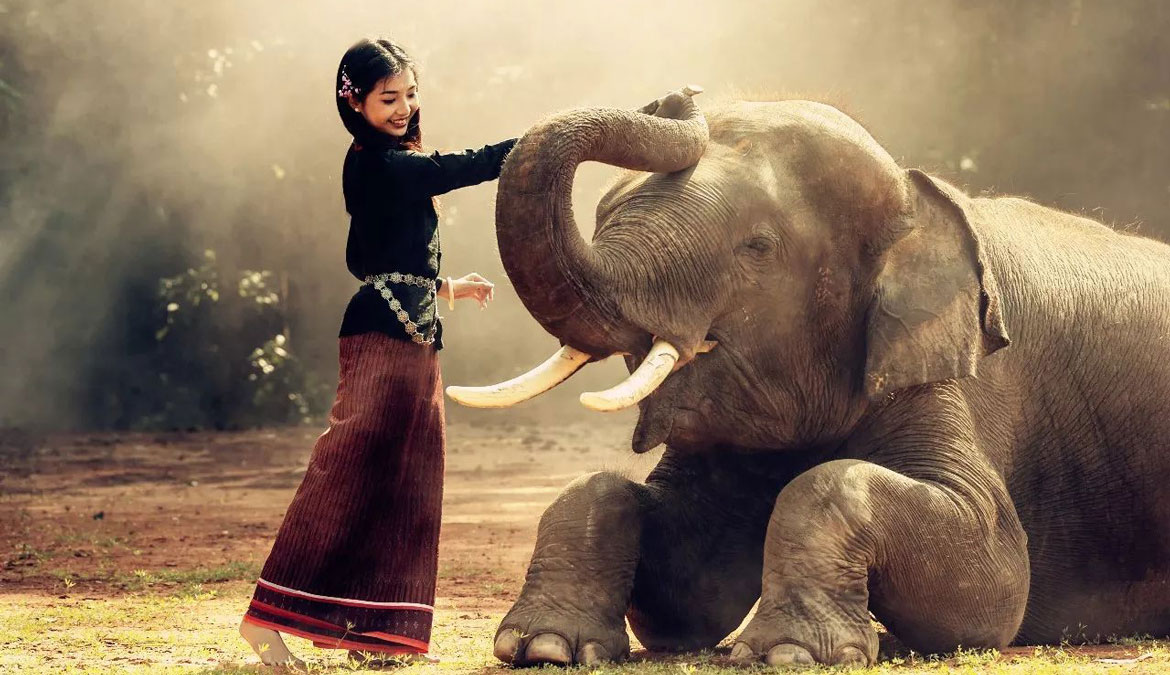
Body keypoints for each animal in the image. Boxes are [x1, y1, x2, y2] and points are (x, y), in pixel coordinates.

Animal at [446, 87, 1170, 667]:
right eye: (603, 216)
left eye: (757, 247)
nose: (680, 97)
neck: (916, 196)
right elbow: (686, 587)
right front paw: (544, 648)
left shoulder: (948, 372)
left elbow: (993, 575)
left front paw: (788, 654)